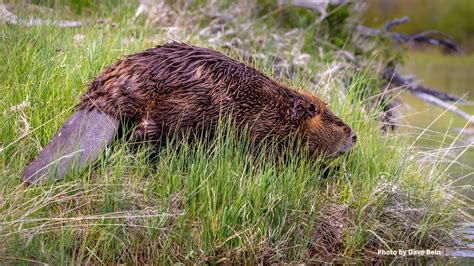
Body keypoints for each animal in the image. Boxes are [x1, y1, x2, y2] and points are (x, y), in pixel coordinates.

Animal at [22, 41, 356, 184]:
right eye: (337, 121)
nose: (354, 136)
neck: (282, 109)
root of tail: (101, 105)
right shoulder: (265, 130)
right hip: (182, 113)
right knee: (144, 137)